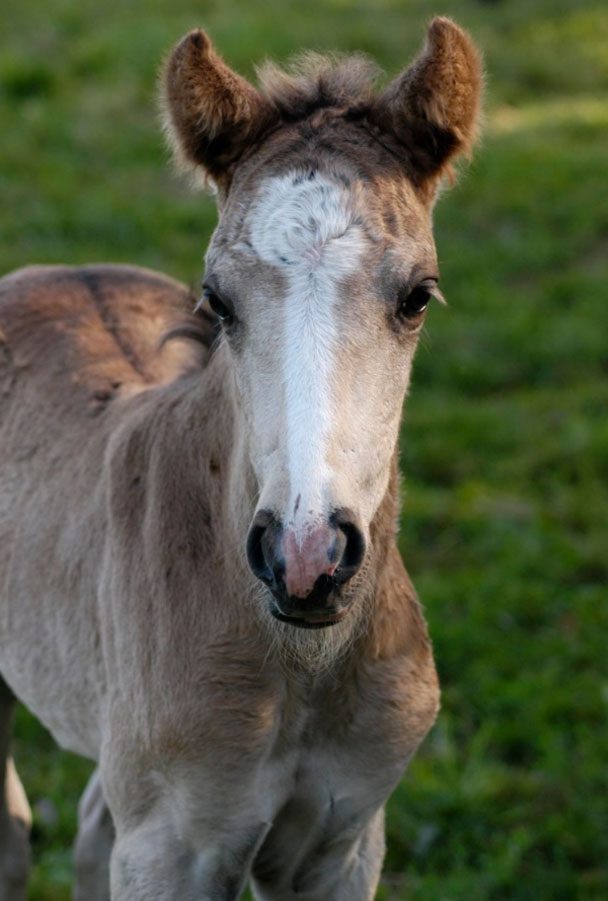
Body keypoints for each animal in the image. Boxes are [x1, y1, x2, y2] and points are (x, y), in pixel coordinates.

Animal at [1, 15, 480, 900]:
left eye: (418, 296)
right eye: (216, 300)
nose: (306, 558)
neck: (300, 666)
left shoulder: (340, 842)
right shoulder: (172, 852)